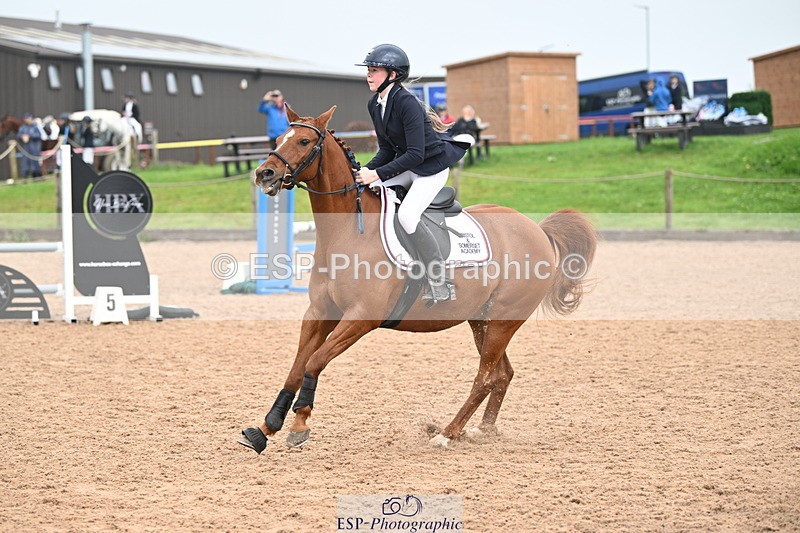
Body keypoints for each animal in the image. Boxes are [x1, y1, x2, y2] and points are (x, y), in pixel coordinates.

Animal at [240, 105, 597, 453]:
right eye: (279, 138)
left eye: (303, 142)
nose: (264, 174)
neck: (347, 231)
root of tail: (538, 229)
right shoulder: (319, 313)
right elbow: (296, 368)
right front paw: (265, 428)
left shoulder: (360, 318)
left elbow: (314, 361)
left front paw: (300, 425)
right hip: (481, 320)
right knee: (501, 374)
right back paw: (481, 430)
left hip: (503, 320)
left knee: (484, 377)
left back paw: (447, 434)